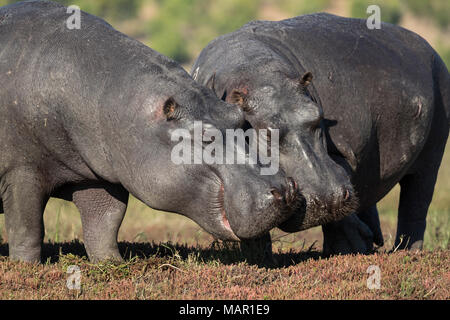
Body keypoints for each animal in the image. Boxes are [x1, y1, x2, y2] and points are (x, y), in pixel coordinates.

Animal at [0, 0, 304, 262]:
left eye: (238, 117)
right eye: (205, 137)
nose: (285, 189)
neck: (108, 96)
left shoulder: (99, 177)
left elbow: (105, 222)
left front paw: (112, 264)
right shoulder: (21, 173)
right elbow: (27, 229)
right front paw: (26, 267)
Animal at [193, 13, 450, 255]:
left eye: (317, 116)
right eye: (266, 133)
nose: (327, 198)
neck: (257, 71)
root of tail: (430, 48)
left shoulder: (345, 153)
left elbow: (340, 213)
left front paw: (347, 249)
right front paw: (259, 258)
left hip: (432, 154)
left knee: (416, 204)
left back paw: (406, 251)